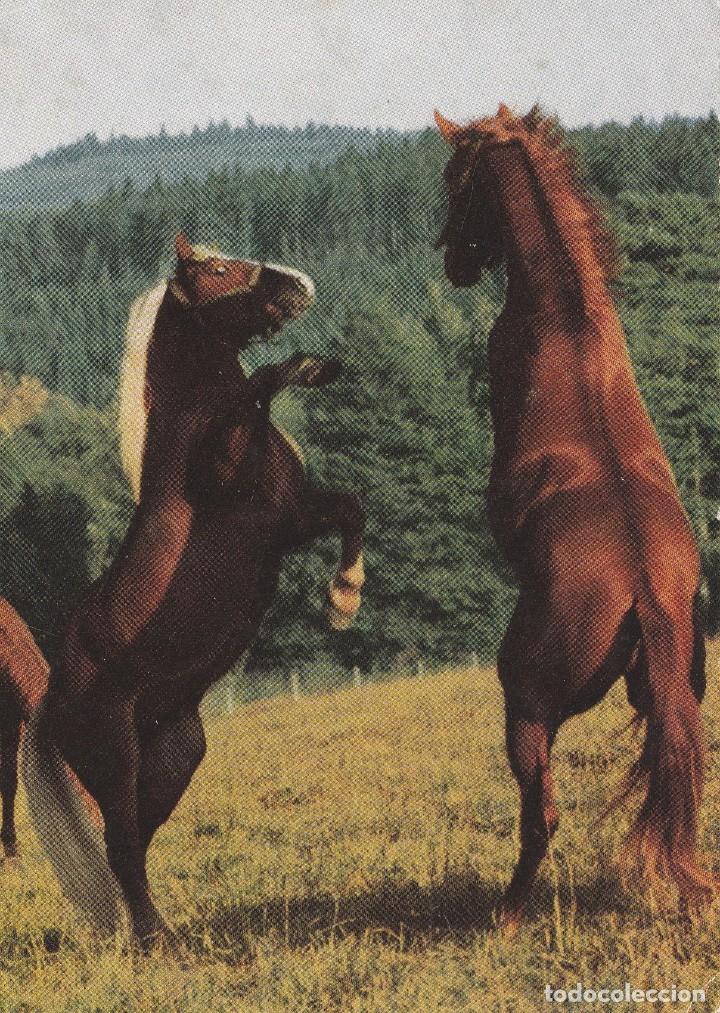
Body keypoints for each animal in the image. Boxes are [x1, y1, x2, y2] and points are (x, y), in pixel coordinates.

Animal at [23, 234, 365, 948]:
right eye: (215, 268)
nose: (300, 283)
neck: (194, 426)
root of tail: (50, 701)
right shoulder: (257, 502)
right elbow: (260, 385)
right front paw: (303, 368)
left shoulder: (292, 519)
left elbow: (352, 510)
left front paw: (342, 601)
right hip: (117, 760)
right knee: (122, 845)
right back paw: (158, 942)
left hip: (175, 756)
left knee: (130, 847)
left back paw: (150, 933)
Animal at [434, 104, 714, 930]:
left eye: (456, 180)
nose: (454, 262)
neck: (564, 311)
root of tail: (645, 590)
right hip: (672, 693)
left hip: (527, 702)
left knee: (542, 813)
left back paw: (508, 912)